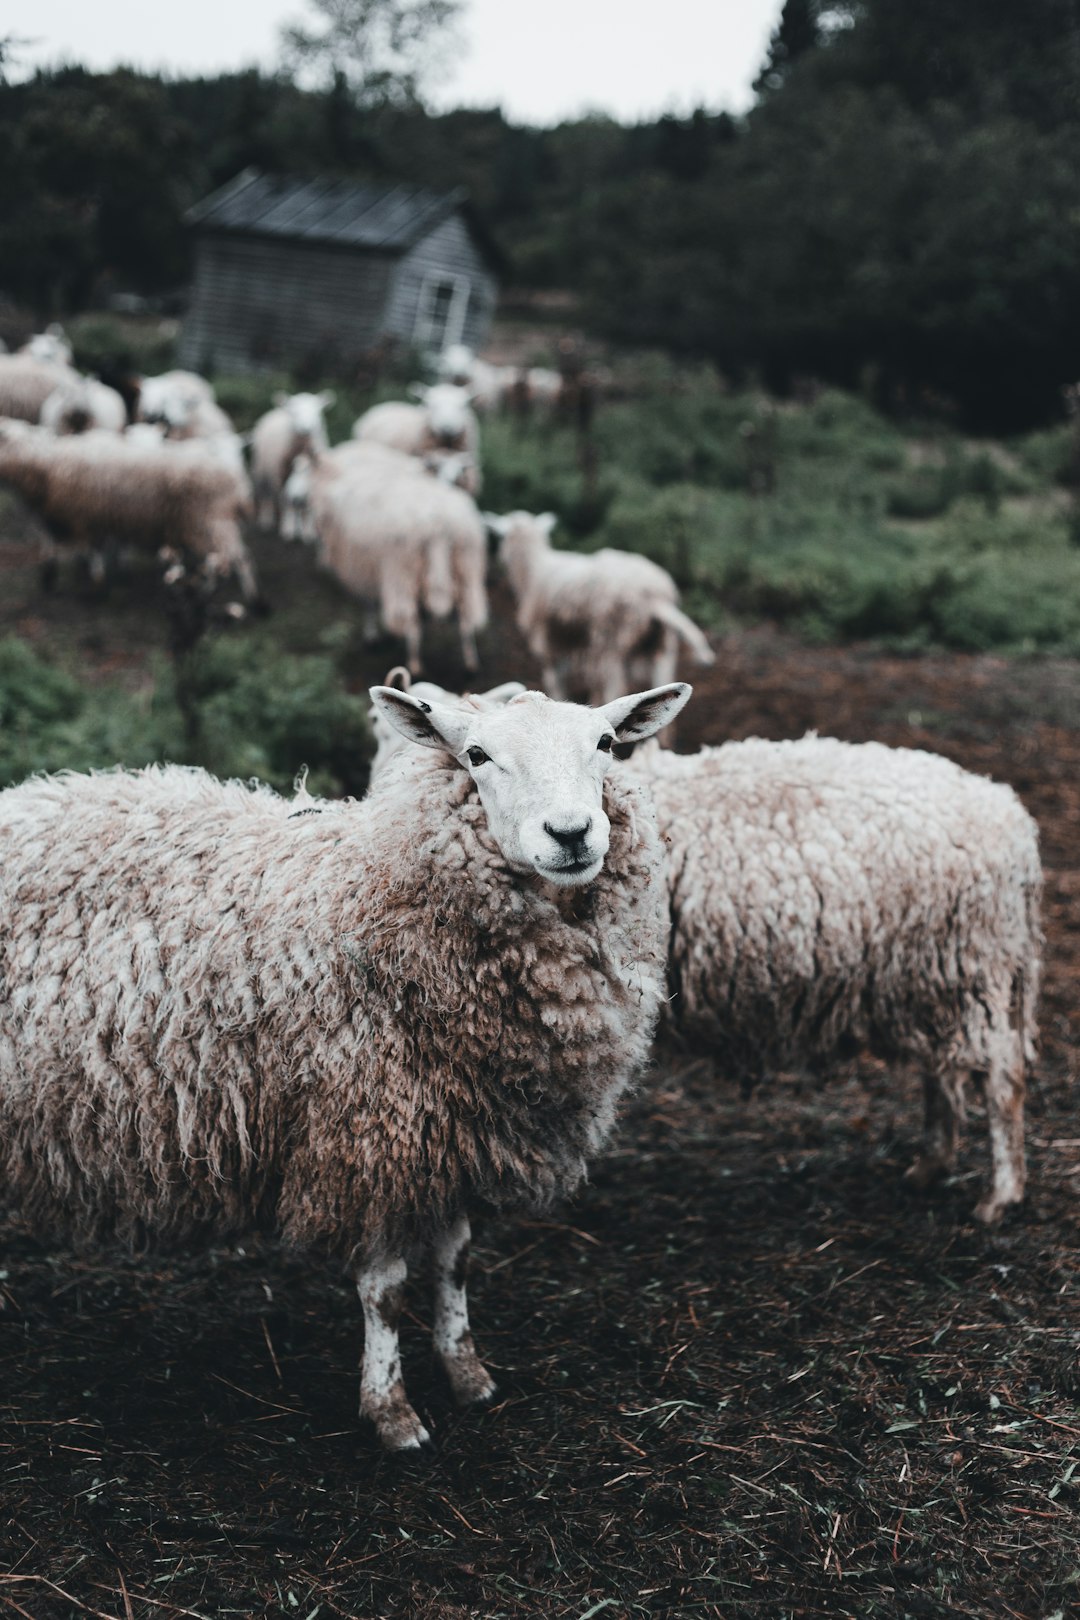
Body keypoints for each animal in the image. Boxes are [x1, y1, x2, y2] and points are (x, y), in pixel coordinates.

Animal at [0, 677, 693, 1451]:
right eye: (477, 755)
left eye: (605, 743)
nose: (572, 834)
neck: (375, 890)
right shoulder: (371, 1133)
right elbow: (385, 1291)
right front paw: (391, 1411)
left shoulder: (450, 1128)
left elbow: (455, 1261)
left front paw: (468, 1375)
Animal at [250, 393, 335, 534]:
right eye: (294, 412)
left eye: (318, 411)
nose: (306, 429)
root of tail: (277, 410)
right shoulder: (279, 476)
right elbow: (284, 501)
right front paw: (287, 528)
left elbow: (309, 505)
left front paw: (309, 531)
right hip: (261, 470)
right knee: (265, 496)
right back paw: (266, 520)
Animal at [492, 508, 712, 706]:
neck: (533, 569)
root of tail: (655, 597)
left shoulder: (547, 637)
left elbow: (556, 679)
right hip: (663, 644)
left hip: (612, 640)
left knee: (615, 688)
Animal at [628, 729, 1042, 1218]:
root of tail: (1012, 821)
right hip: (933, 982)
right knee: (942, 1072)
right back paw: (930, 1167)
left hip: (969, 974)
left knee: (1002, 1081)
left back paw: (1000, 1193)